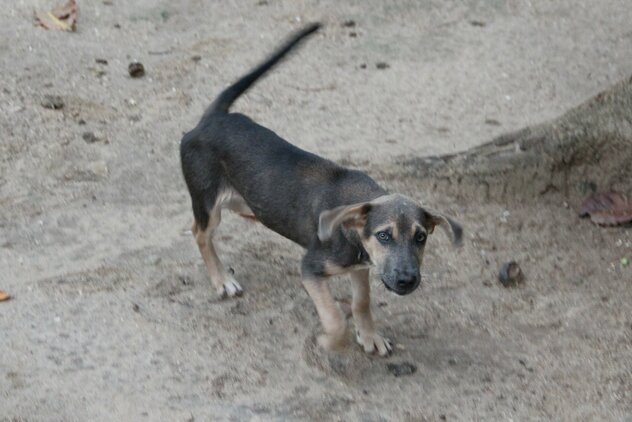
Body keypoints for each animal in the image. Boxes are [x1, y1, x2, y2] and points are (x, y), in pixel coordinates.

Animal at [180, 23, 462, 356]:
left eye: (421, 237)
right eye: (384, 236)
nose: (407, 280)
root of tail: (213, 117)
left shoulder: (360, 268)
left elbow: (362, 302)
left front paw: (370, 336)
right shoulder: (311, 269)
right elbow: (335, 318)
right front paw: (329, 341)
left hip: (241, 199)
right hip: (208, 200)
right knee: (200, 233)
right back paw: (222, 280)